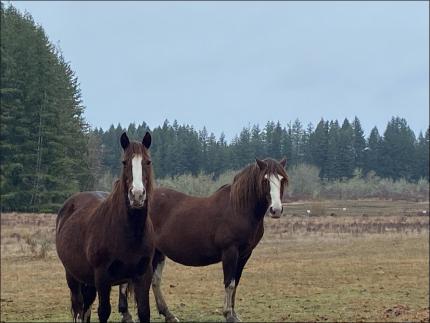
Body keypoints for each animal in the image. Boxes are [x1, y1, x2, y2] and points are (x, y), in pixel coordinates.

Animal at [56, 132, 155, 323]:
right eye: (124, 162)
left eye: (148, 161)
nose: (137, 195)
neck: (129, 233)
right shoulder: (102, 277)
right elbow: (104, 312)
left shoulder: (143, 275)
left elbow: (144, 312)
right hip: (72, 277)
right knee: (79, 308)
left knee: (86, 308)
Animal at [117, 158, 288, 322]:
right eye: (265, 180)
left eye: (282, 179)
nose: (276, 210)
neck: (238, 209)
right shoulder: (230, 252)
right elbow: (229, 283)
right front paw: (229, 314)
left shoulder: (245, 254)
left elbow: (236, 283)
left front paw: (234, 313)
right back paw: (127, 315)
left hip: (158, 253)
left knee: (155, 281)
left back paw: (168, 315)